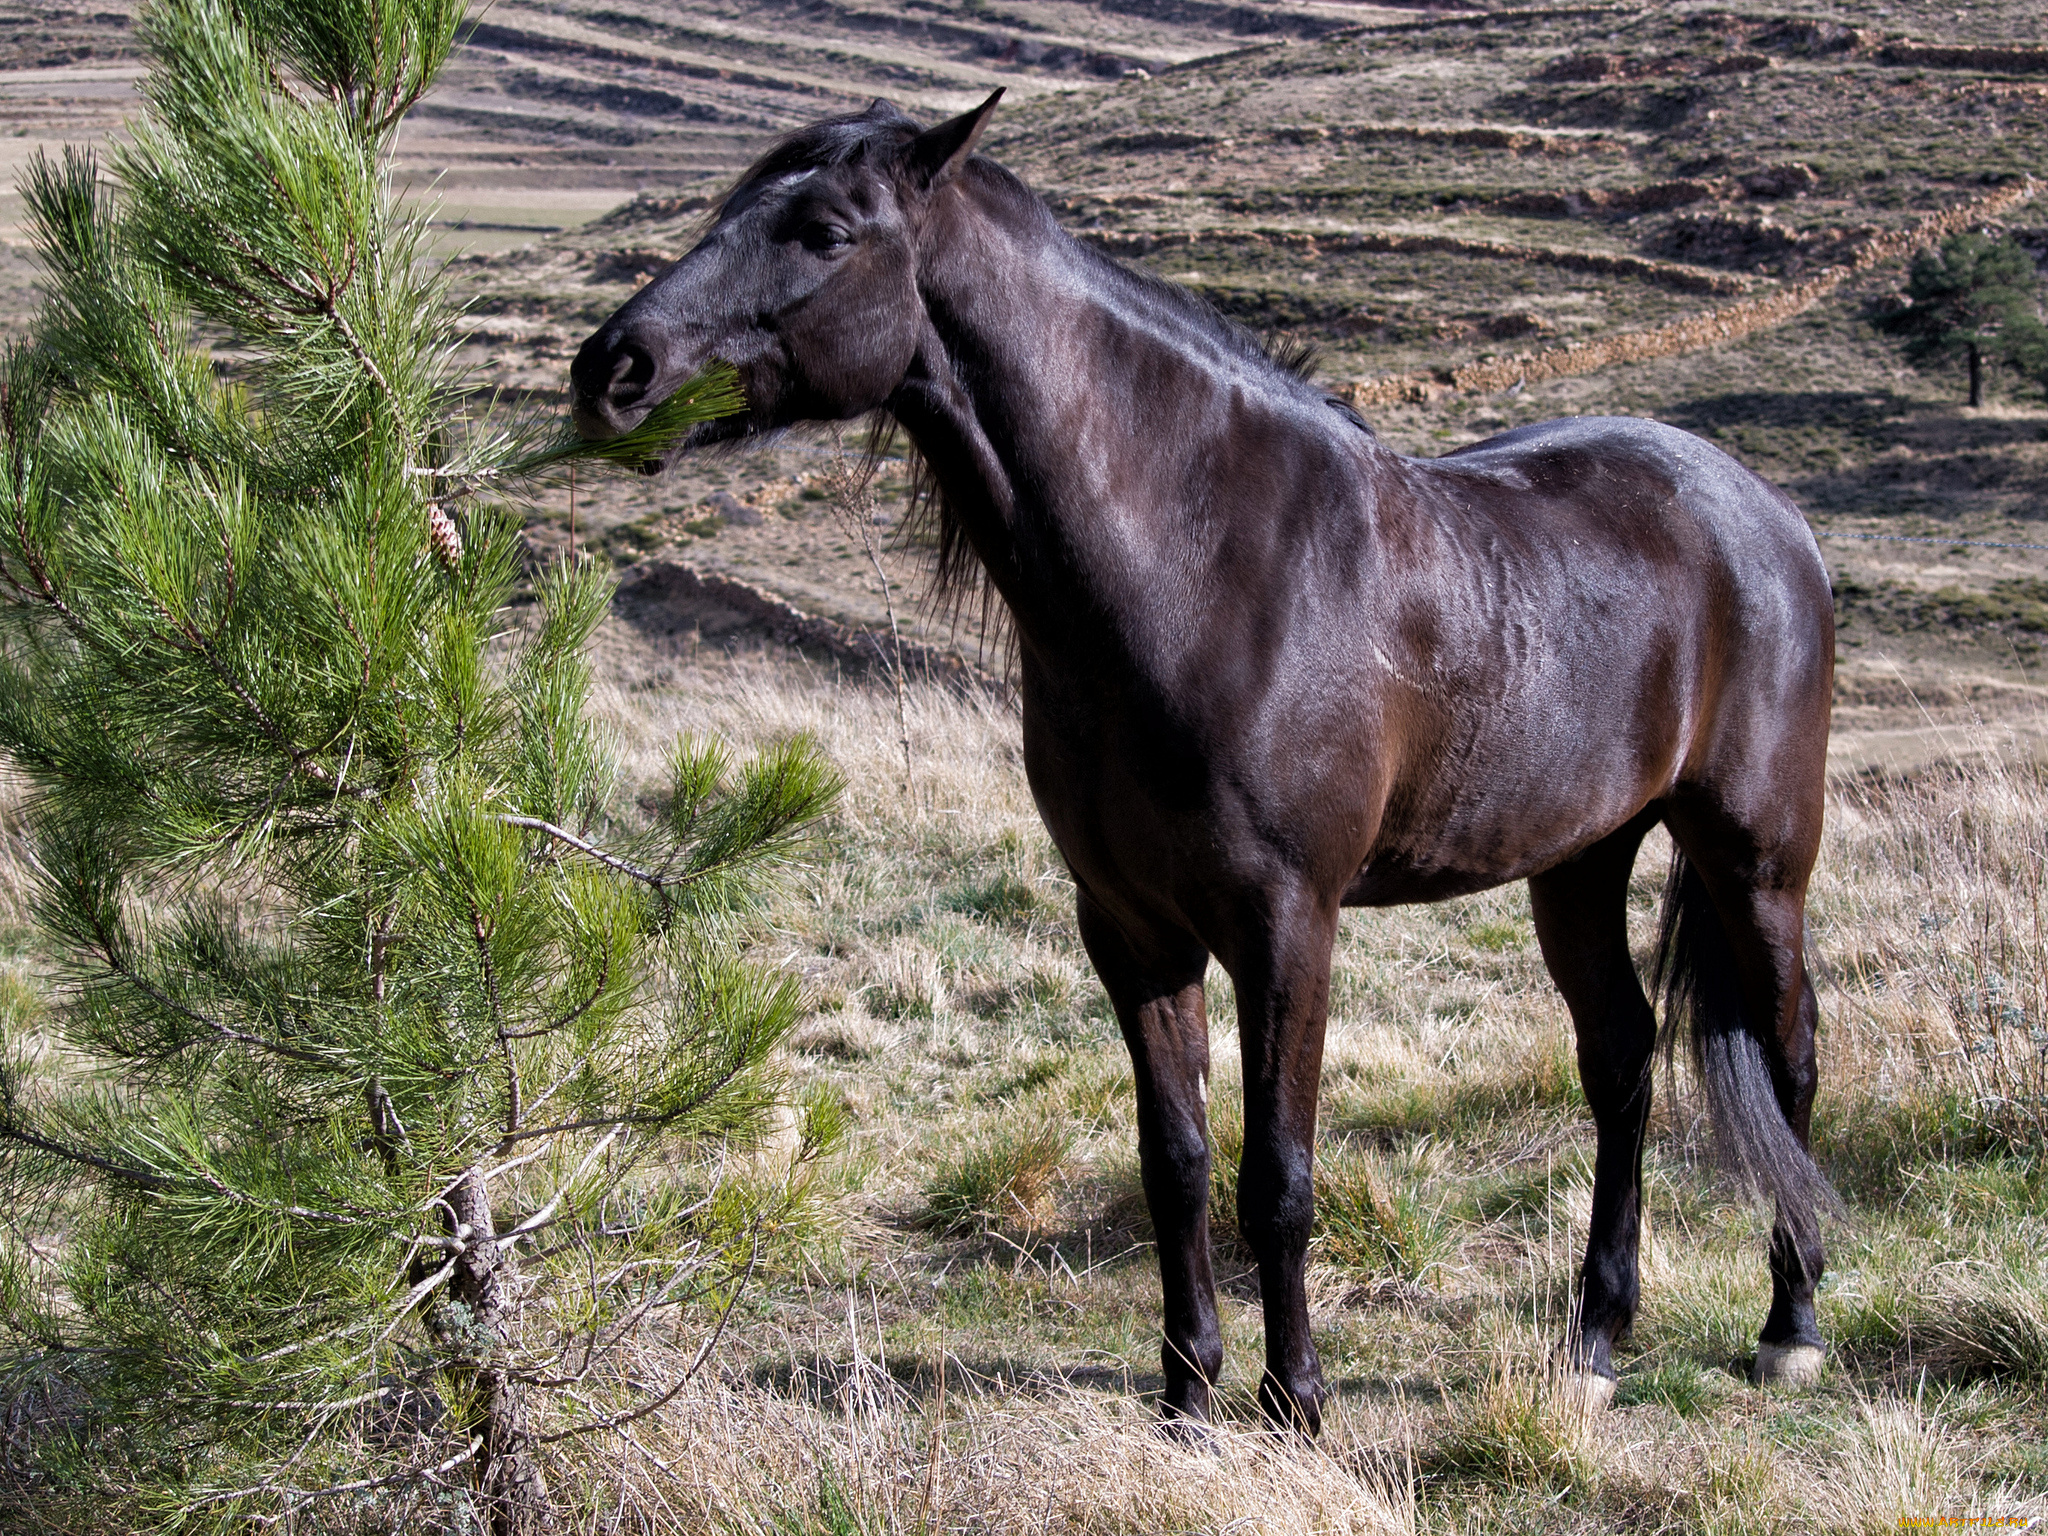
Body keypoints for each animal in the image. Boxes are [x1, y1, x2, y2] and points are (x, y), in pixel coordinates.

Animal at [569, 93, 1835, 1441]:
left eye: (823, 229)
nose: (612, 372)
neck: (1199, 567)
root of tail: (1763, 515)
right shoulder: (1130, 929)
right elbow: (1171, 1163)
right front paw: (1185, 1392)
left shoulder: (1285, 924)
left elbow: (1274, 1172)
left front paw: (1294, 1403)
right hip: (1580, 860)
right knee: (1621, 1060)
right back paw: (1592, 1339)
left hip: (1755, 858)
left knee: (1790, 1049)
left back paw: (1789, 1327)